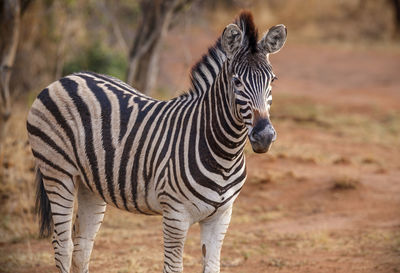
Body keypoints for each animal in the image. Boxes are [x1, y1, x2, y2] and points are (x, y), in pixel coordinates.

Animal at [26, 11, 286, 272]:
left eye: (272, 80)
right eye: (237, 82)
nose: (264, 136)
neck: (225, 154)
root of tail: (67, 78)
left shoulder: (221, 217)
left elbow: (212, 266)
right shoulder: (175, 215)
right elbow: (173, 267)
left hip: (90, 184)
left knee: (83, 246)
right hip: (57, 172)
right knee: (63, 245)